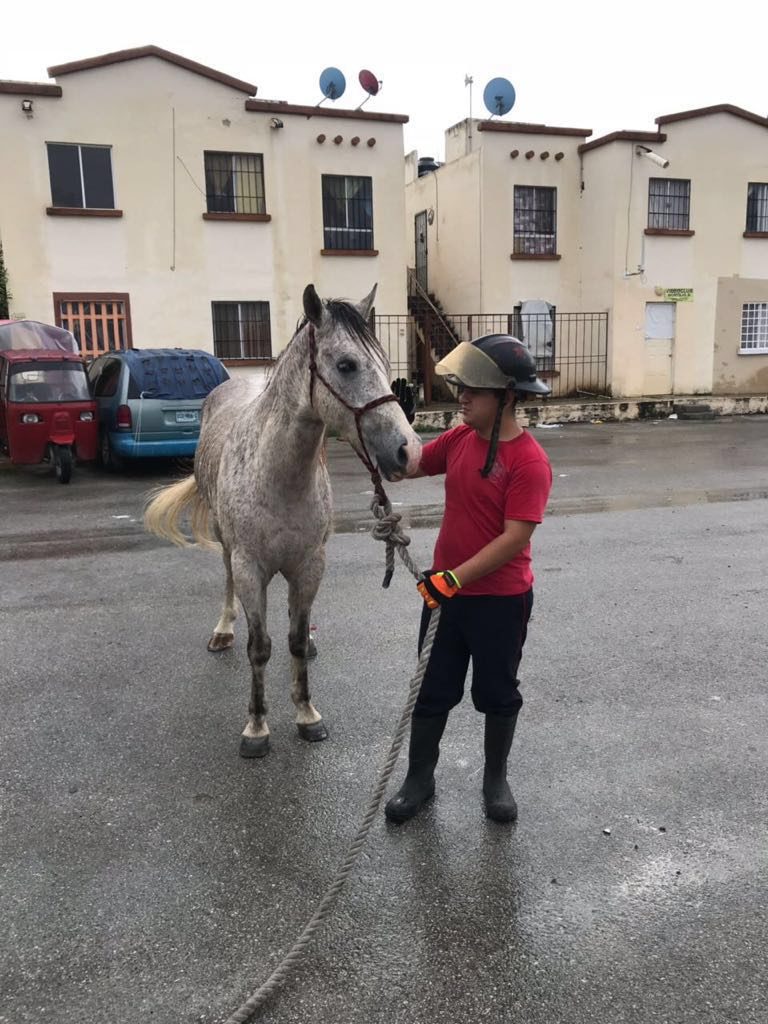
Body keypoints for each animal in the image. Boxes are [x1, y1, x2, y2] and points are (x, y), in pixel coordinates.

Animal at [144, 284, 422, 758]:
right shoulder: (250, 566)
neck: (278, 475)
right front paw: (256, 727)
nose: (409, 451)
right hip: (225, 542)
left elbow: (291, 640)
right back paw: (223, 630)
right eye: (346, 365)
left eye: (387, 367)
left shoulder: (309, 565)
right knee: (226, 580)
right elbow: (259, 647)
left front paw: (307, 714)